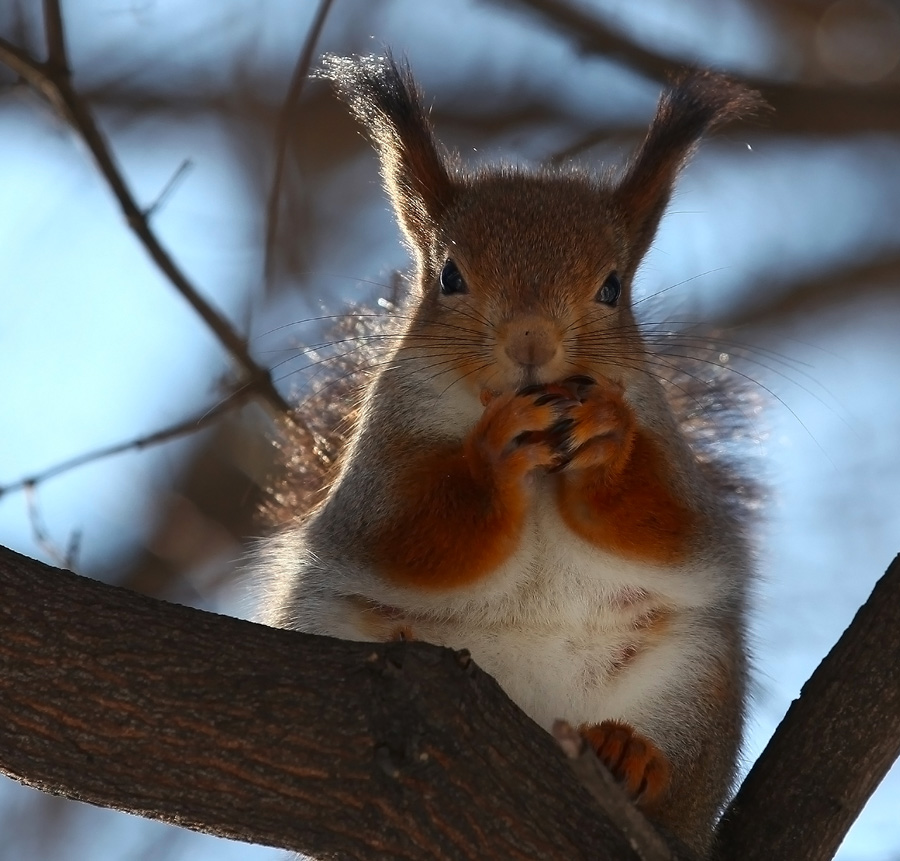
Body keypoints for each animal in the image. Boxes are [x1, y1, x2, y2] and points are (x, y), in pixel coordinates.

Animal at [256, 57, 764, 856]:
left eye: (613, 286)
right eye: (449, 276)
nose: (532, 339)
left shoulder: (676, 469)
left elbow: (668, 524)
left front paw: (608, 443)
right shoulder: (381, 467)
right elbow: (413, 534)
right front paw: (491, 459)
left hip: (695, 684)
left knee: (674, 773)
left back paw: (632, 756)